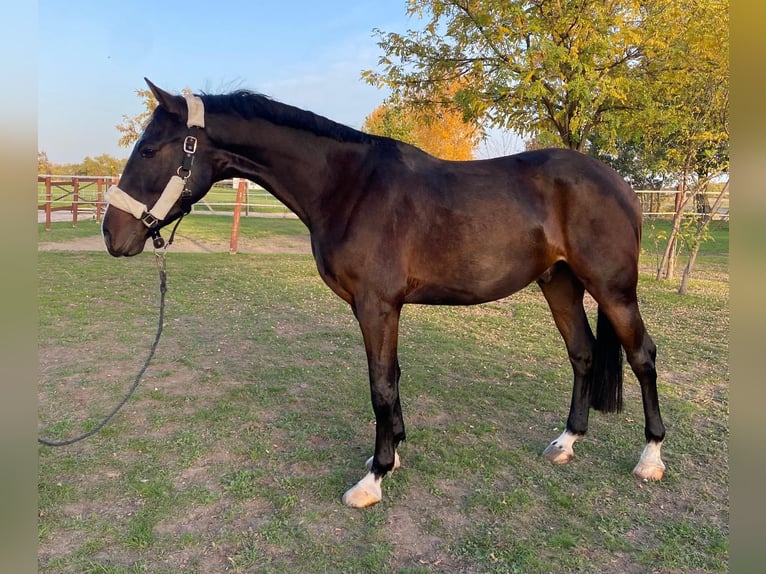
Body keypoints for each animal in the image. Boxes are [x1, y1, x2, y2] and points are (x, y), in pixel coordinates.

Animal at [102, 80, 664, 508]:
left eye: (149, 150)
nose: (111, 234)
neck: (348, 186)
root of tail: (620, 186)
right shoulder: (381, 309)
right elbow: (391, 379)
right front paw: (389, 454)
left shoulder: (376, 307)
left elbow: (380, 386)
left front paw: (373, 479)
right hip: (560, 283)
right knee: (583, 354)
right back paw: (567, 442)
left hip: (613, 289)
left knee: (642, 356)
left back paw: (651, 458)